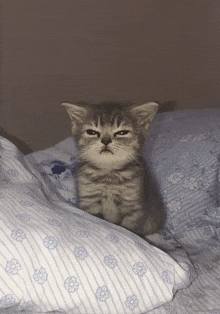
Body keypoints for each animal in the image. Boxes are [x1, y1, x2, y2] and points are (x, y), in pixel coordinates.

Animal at [62, 100, 165, 236]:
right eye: (92, 132)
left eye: (122, 132)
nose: (105, 140)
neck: (108, 175)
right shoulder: (89, 199)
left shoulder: (132, 205)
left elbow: (129, 229)